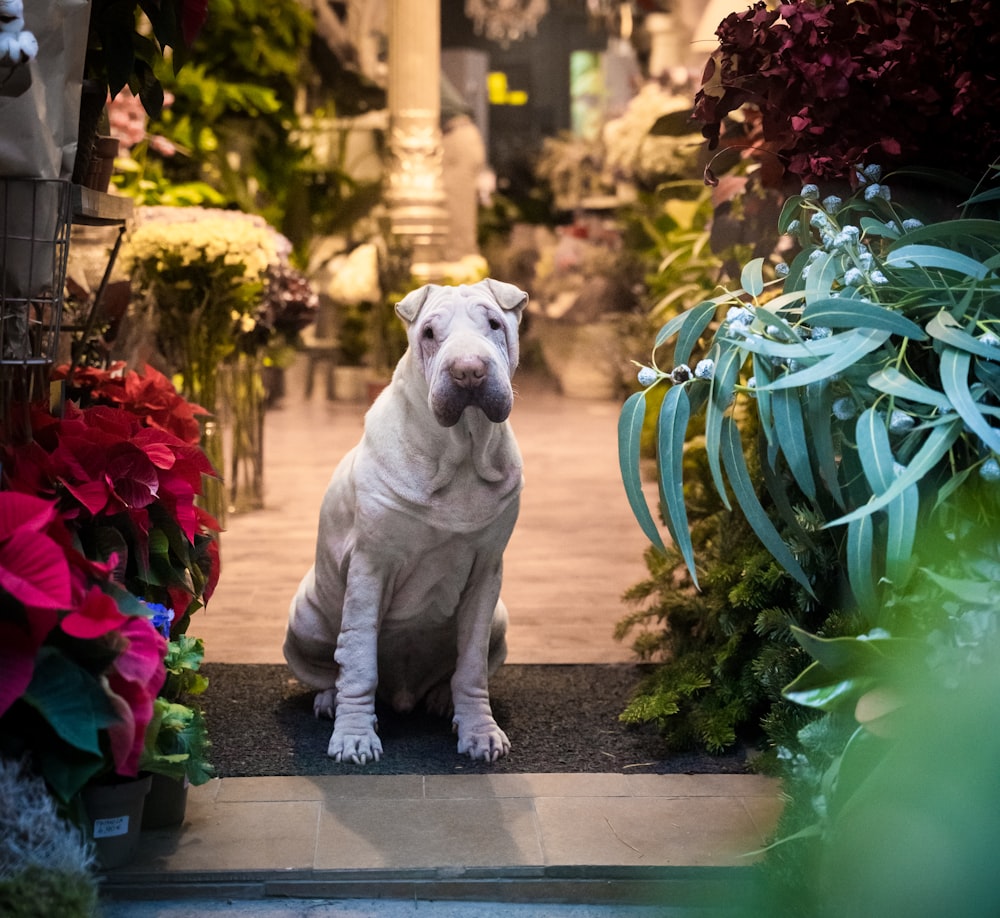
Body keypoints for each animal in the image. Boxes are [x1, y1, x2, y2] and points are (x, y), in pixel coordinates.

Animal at [286, 276, 528, 764]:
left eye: (494, 324)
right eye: (430, 334)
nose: (469, 371)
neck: (459, 455)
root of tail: (404, 694)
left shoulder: (486, 574)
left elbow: (471, 665)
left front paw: (480, 733)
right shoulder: (370, 568)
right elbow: (359, 658)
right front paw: (354, 738)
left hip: (501, 617)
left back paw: (441, 699)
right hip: (303, 617)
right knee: (331, 667)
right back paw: (330, 700)